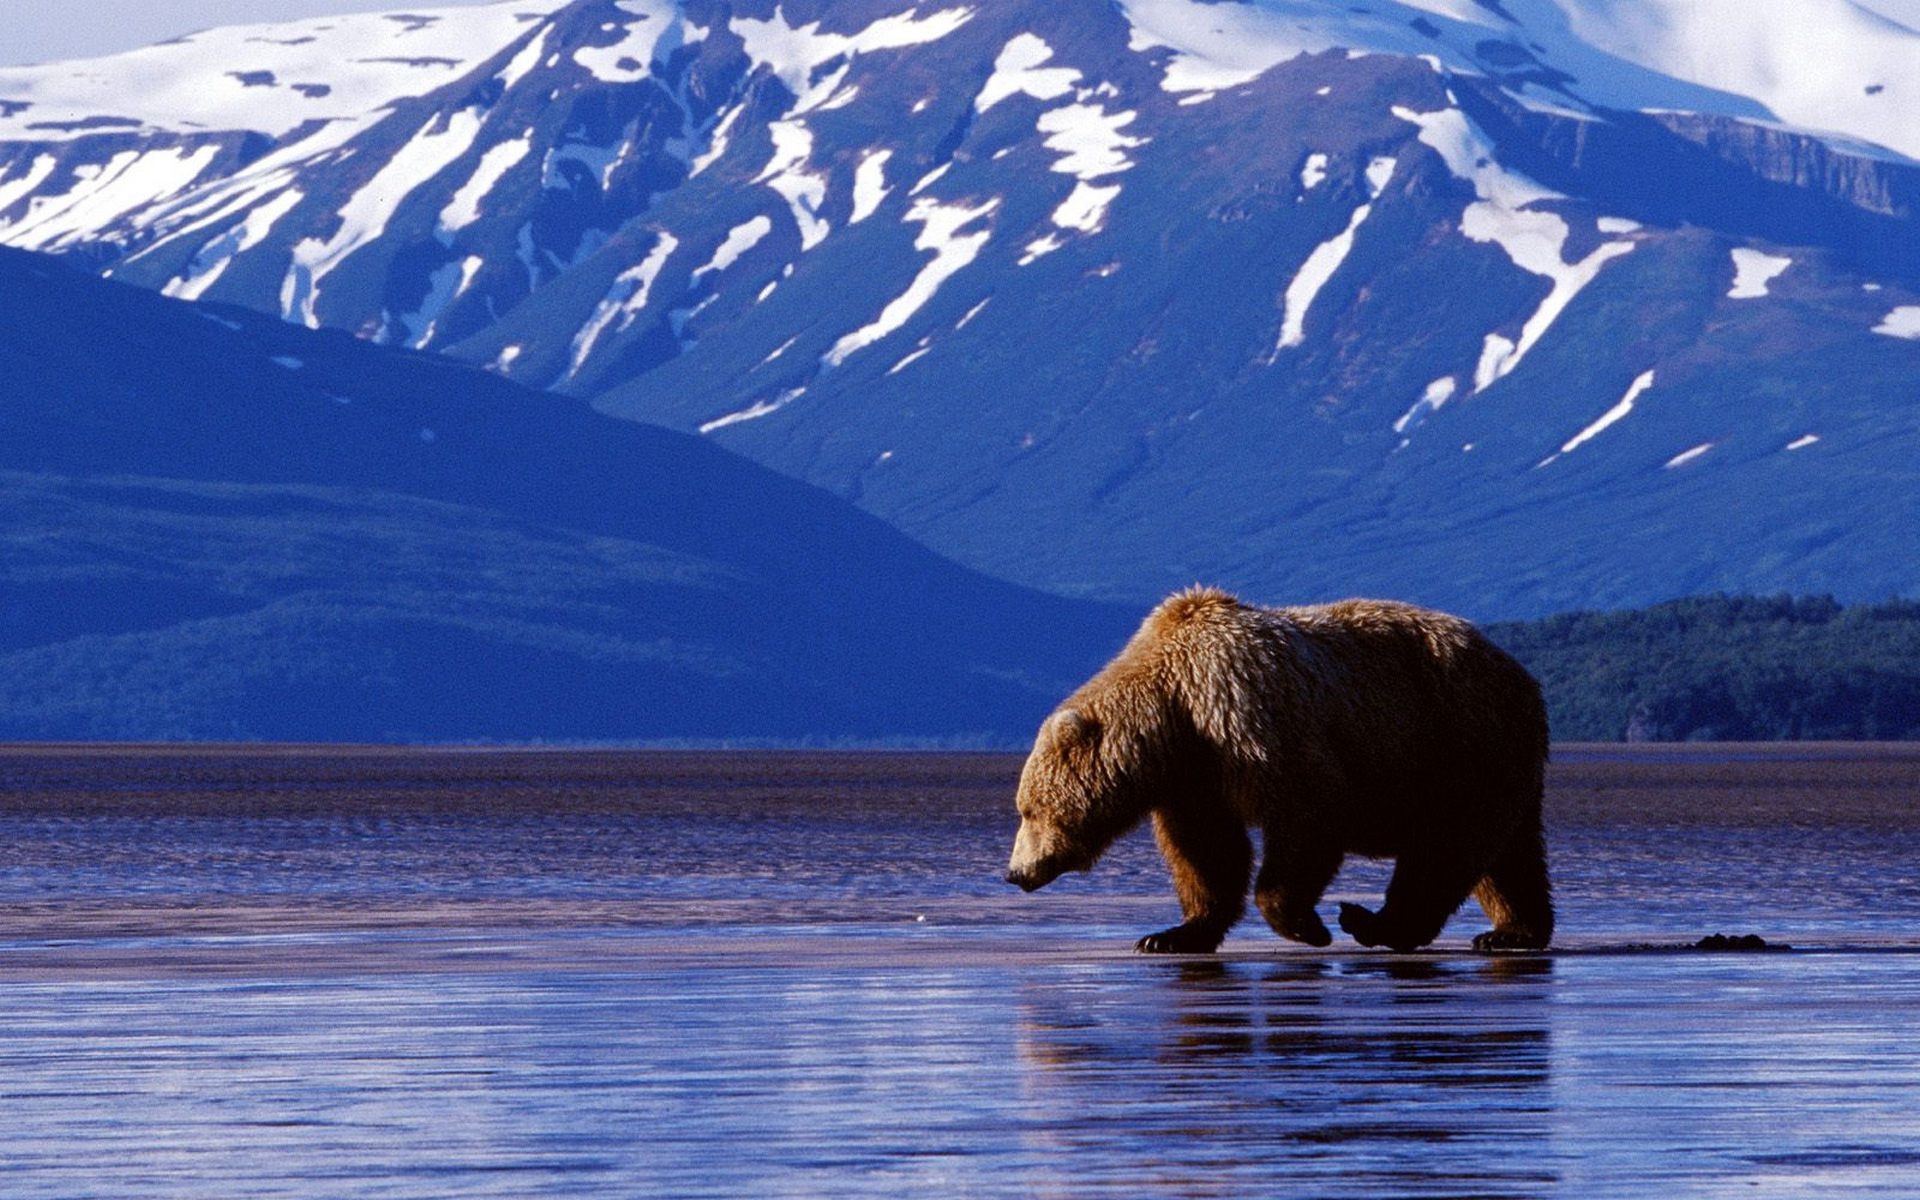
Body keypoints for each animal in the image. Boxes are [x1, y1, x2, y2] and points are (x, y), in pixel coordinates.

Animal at [1013, 583, 1551, 948]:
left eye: (1028, 810)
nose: (1016, 873)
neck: (1175, 712)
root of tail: (1521, 673)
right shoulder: (1195, 779)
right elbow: (1206, 851)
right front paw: (1172, 933)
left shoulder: (1248, 722)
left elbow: (1309, 811)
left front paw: (1304, 924)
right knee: (1510, 855)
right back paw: (1514, 930)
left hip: (1457, 741)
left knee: (1446, 845)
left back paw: (1376, 923)